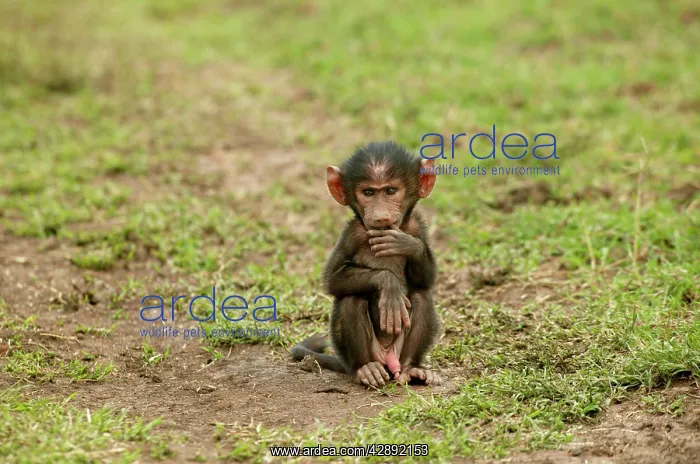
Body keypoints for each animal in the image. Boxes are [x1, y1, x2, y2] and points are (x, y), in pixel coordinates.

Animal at [292, 140, 441, 388]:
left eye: (390, 191)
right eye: (369, 192)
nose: (380, 216)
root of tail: (388, 360)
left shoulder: (416, 227)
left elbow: (426, 280)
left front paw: (407, 244)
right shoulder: (353, 234)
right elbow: (333, 280)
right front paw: (388, 285)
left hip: (398, 353)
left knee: (421, 297)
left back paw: (411, 368)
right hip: (366, 355)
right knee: (351, 299)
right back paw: (366, 369)